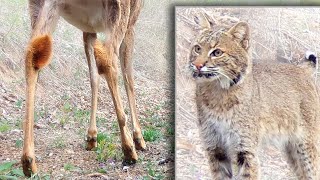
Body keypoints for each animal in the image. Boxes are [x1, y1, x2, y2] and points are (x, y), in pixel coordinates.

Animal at [22, 0, 146, 175]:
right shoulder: (132, 23)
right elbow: (129, 78)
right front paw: (139, 138)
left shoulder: (88, 29)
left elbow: (93, 77)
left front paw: (92, 136)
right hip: (120, 10)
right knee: (108, 58)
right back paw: (129, 149)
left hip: (41, 7)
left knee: (32, 56)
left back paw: (28, 161)